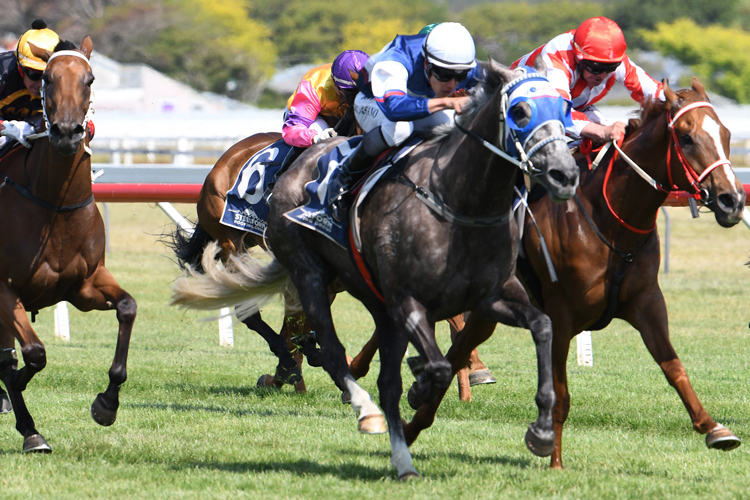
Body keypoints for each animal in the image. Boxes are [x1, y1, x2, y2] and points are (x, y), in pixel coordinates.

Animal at [0, 35, 137, 452]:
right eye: (48, 79)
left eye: (89, 79)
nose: (66, 133)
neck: (54, 206)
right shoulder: (4, 289)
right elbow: (32, 355)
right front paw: (28, 425)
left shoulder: (83, 285)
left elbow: (128, 307)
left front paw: (107, 403)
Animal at [170, 58, 580, 476]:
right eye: (519, 112)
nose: (564, 174)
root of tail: (222, 162)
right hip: (237, 243)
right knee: (251, 310)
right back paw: (299, 365)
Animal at [400, 76, 748, 466]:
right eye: (686, 138)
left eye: (726, 133)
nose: (732, 200)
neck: (612, 220)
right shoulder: (561, 315)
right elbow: (560, 394)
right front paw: (553, 460)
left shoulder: (646, 302)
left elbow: (674, 367)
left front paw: (714, 428)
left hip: (488, 309)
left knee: (460, 347)